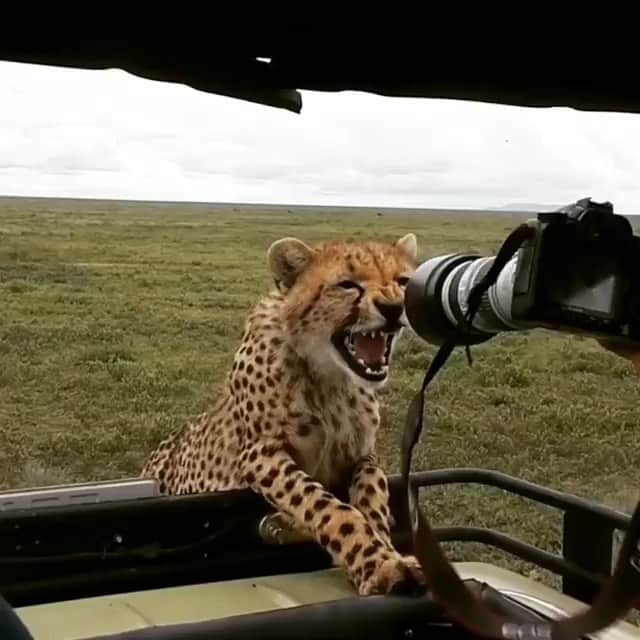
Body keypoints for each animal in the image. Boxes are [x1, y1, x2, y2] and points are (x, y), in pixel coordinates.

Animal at [141, 232, 426, 596]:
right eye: (347, 284)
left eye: (402, 281)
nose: (393, 307)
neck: (327, 376)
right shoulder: (261, 455)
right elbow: (327, 506)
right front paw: (377, 565)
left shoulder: (363, 456)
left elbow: (373, 500)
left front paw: (389, 555)